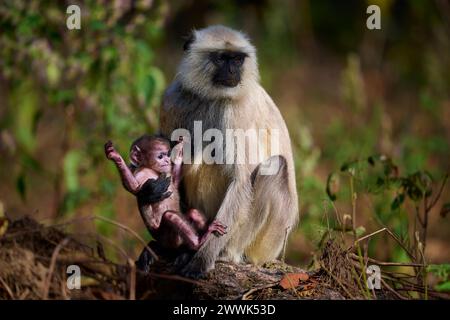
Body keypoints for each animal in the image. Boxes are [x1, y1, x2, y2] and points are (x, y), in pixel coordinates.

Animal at [159, 25, 298, 276]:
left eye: (237, 59)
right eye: (222, 58)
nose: (233, 70)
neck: (211, 97)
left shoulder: (235, 111)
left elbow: (241, 182)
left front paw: (201, 260)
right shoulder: (173, 99)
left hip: (268, 242)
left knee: (274, 167)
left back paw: (225, 254)